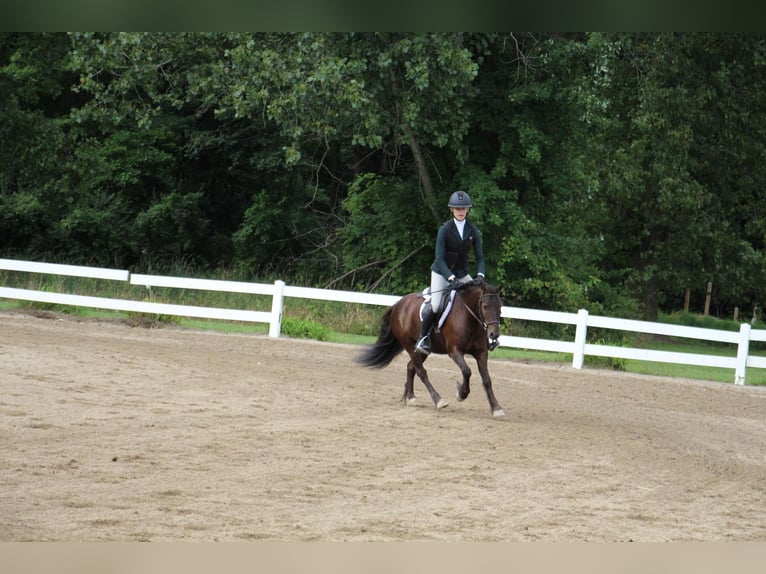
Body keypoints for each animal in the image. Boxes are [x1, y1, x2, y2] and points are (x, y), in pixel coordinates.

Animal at [356, 280, 508, 418]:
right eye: (485, 306)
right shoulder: (455, 351)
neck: (469, 317)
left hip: (422, 350)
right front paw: (461, 393)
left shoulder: (481, 352)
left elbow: (487, 379)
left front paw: (496, 408)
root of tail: (398, 305)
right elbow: (467, 371)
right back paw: (438, 400)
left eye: (500, 306)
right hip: (409, 345)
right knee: (421, 371)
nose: (494, 334)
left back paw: (410, 397)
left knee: (411, 367)